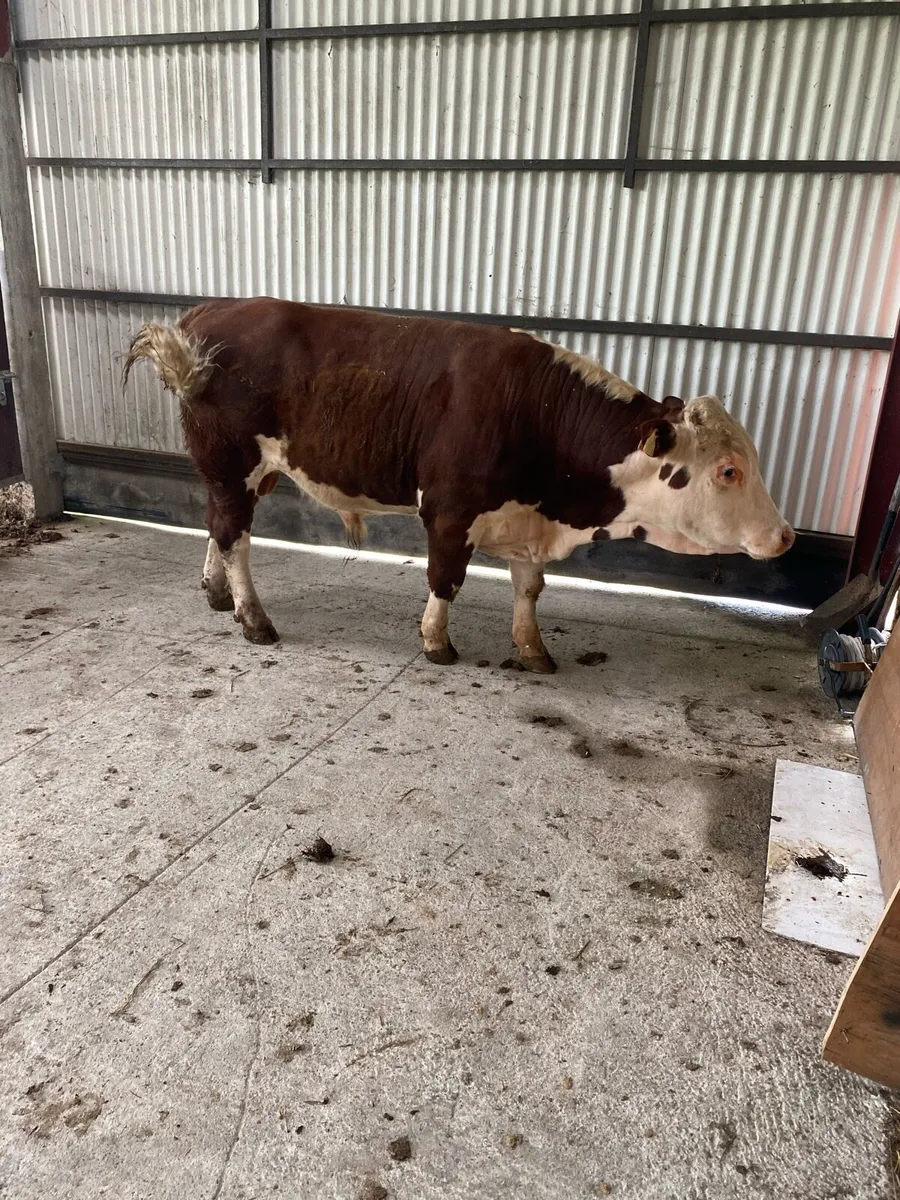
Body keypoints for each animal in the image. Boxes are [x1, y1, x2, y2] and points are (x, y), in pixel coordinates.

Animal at [124, 298, 794, 672]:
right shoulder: (450, 510)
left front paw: (533, 650)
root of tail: (208, 312)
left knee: (218, 526)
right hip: (231, 463)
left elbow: (529, 589)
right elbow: (445, 579)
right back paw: (254, 618)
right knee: (235, 536)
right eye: (728, 470)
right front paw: (436, 643)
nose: (786, 536)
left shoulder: (527, 519)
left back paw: (217, 595)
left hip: (245, 474)